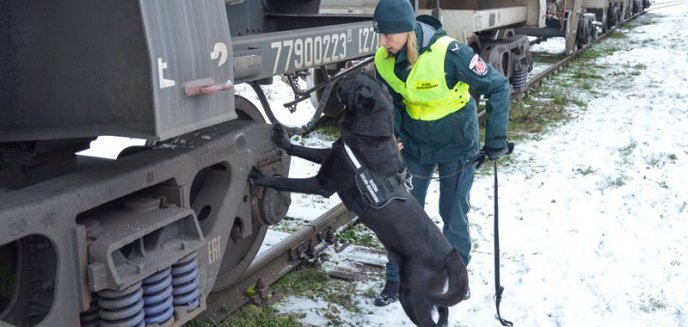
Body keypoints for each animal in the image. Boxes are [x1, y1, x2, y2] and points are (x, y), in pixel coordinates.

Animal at [250, 72, 470, 327]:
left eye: (354, 81)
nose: (341, 75)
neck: (371, 136)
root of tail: (449, 256)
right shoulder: (330, 155)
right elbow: (304, 150)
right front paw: (282, 139)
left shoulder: (323, 183)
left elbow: (287, 182)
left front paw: (260, 177)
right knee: (444, 312)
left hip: (413, 296)